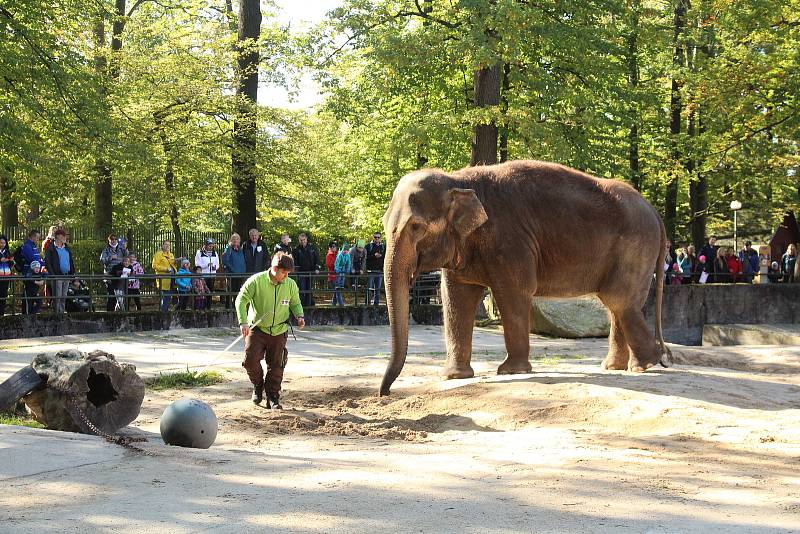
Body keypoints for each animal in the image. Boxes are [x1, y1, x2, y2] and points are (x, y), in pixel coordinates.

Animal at [380, 159, 668, 398]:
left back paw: (645, 365)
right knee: (616, 305)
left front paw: (511, 371)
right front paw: (453, 376)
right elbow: (456, 298)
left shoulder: (511, 241)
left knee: (619, 300)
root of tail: (655, 212)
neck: (458, 180)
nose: (385, 393)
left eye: (416, 227)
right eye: (383, 223)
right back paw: (614, 367)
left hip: (636, 247)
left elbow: (513, 292)